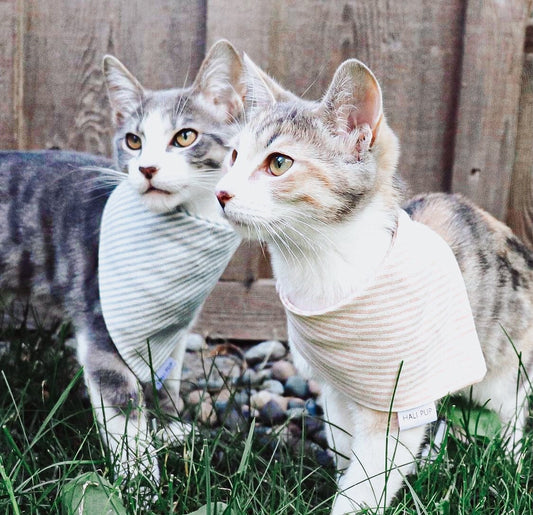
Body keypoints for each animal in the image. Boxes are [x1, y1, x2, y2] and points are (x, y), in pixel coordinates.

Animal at [0, 39, 244, 484]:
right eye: (133, 141)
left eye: (185, 136)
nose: (146, 168)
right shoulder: (104, 327)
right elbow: (123, 409)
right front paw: (141, 481)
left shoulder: (174, 327)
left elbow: (167, 379)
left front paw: (167, 429)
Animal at [214, 54, 532, 512]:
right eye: (235, 155)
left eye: (279, 163)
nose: (221, 193)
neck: (322, 270)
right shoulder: (333, 387)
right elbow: (346, 444)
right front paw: (345, 469)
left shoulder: (398, 397)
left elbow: (370, 475)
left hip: (501, 364)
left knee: (511, 411)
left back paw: (510, 458)